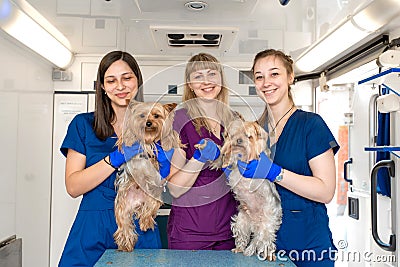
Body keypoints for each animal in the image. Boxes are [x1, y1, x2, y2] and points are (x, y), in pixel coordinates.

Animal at [114, 101, 180, 253]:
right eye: (142, 115)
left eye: (156, 115)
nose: (148, 123)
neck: (149, 137)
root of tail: (137, 202)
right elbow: (128, 136)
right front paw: (130, 142)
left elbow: (170, 138)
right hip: (121, 206)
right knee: (124, 225)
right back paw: (125, 244)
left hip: (154, 197)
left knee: (148, 210)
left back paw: (145, 223)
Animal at [212, 119, 282, 262]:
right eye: (233, 135)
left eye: (247, 135)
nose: (238, 140)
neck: (242, 155)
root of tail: (255, 223)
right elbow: (226, 157)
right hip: (240, 222)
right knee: (243, 237)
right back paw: (239, 248)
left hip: (266, 227)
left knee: (265, 241)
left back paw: (268, 254)